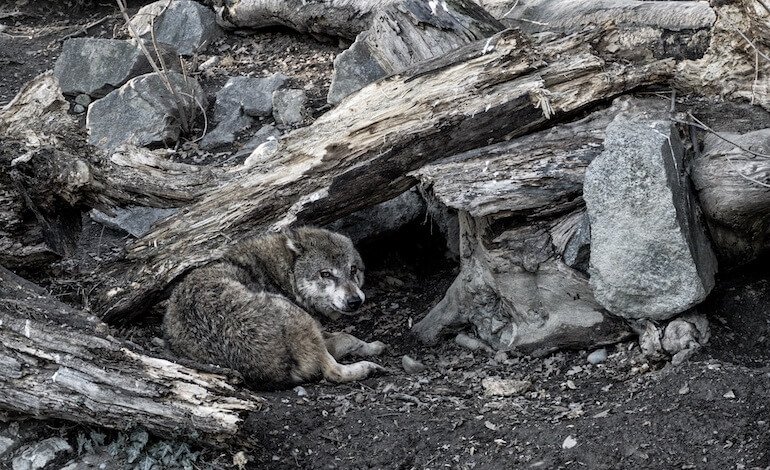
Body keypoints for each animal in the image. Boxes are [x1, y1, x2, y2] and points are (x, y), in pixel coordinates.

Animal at [163, 227, 386, 389]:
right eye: (326, 274)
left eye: (353, 270)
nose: (355, 301)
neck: (281, 275)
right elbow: (348, 338)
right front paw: (373, 347)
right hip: (294, 313)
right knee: (333, 372)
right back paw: (369, 368)